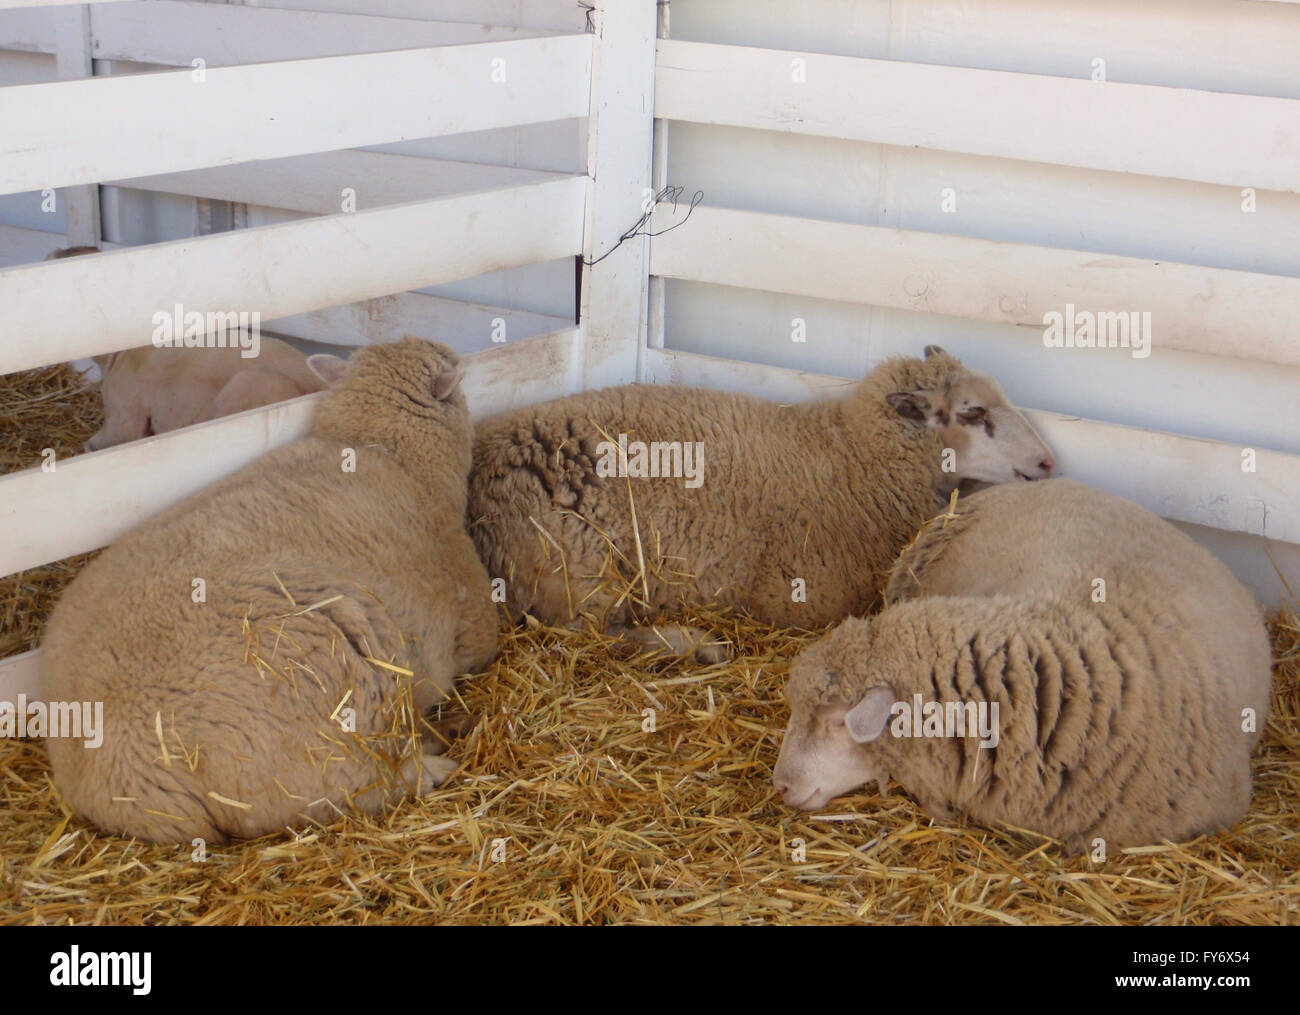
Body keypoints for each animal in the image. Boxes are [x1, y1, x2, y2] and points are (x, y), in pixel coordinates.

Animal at [39, 335, 496, 842]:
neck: (384, 450)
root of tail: (126, 787)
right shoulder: (471, 620)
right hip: (315, 705)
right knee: (360, 784)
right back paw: (437, 758)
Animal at [473, 343, 1050, 657]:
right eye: (973, 412)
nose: (1047, 463)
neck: (854, 454)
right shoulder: (799, 598)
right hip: (579, 573)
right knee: (591, 635)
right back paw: (696, 645)